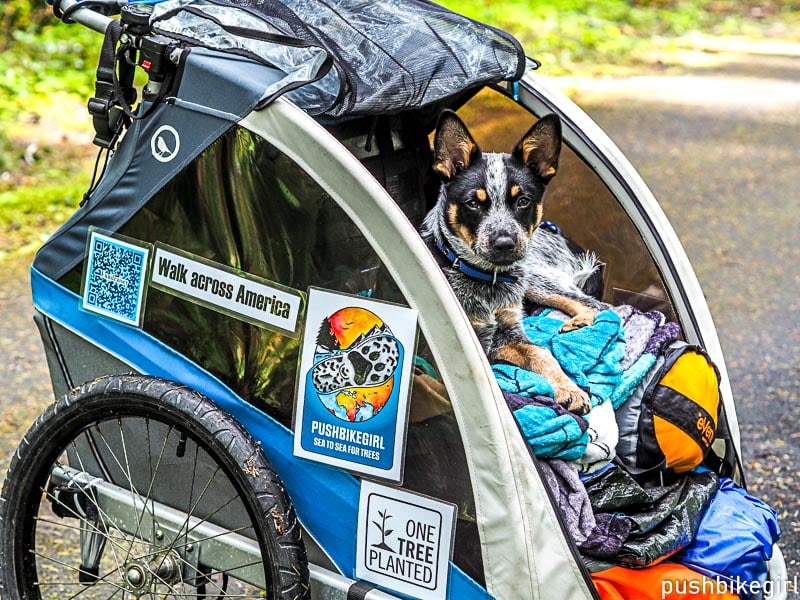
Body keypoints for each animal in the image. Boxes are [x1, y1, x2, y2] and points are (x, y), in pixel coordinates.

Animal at [422, 110, 604, 414]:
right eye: (473, 203)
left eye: (523, 201)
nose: (505, 243)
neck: (484, 279)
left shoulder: (507, 332)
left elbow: (541, 353)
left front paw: (570, 389)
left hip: (536, 280)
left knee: (597, 305)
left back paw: (579, 322)